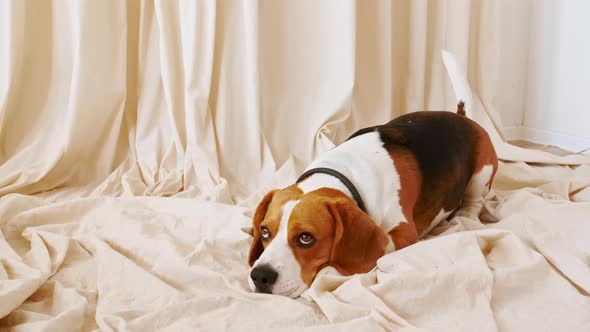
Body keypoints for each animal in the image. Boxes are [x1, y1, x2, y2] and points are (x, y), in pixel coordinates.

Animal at [249, 52, 500, 298]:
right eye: (264, 231)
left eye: (305, 238)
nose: (260, 276)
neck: (345, 176)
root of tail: (464, 118)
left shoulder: (403, 234)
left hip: (481, 174)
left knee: (474, 202)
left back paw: (465, 214)